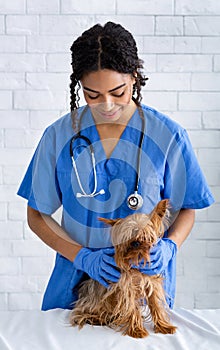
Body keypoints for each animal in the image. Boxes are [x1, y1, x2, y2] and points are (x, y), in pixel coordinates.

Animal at [70, 201, 177, 338]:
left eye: (145, 235)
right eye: (128, 236)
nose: (136, 243)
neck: (136, 261)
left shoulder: (151, 283)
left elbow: (156, 305)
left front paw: (163, 326)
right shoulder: (127, 287)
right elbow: (131, 308)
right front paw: (137, 330)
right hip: (95, 301)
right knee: (85, 313)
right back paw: (97, 319)